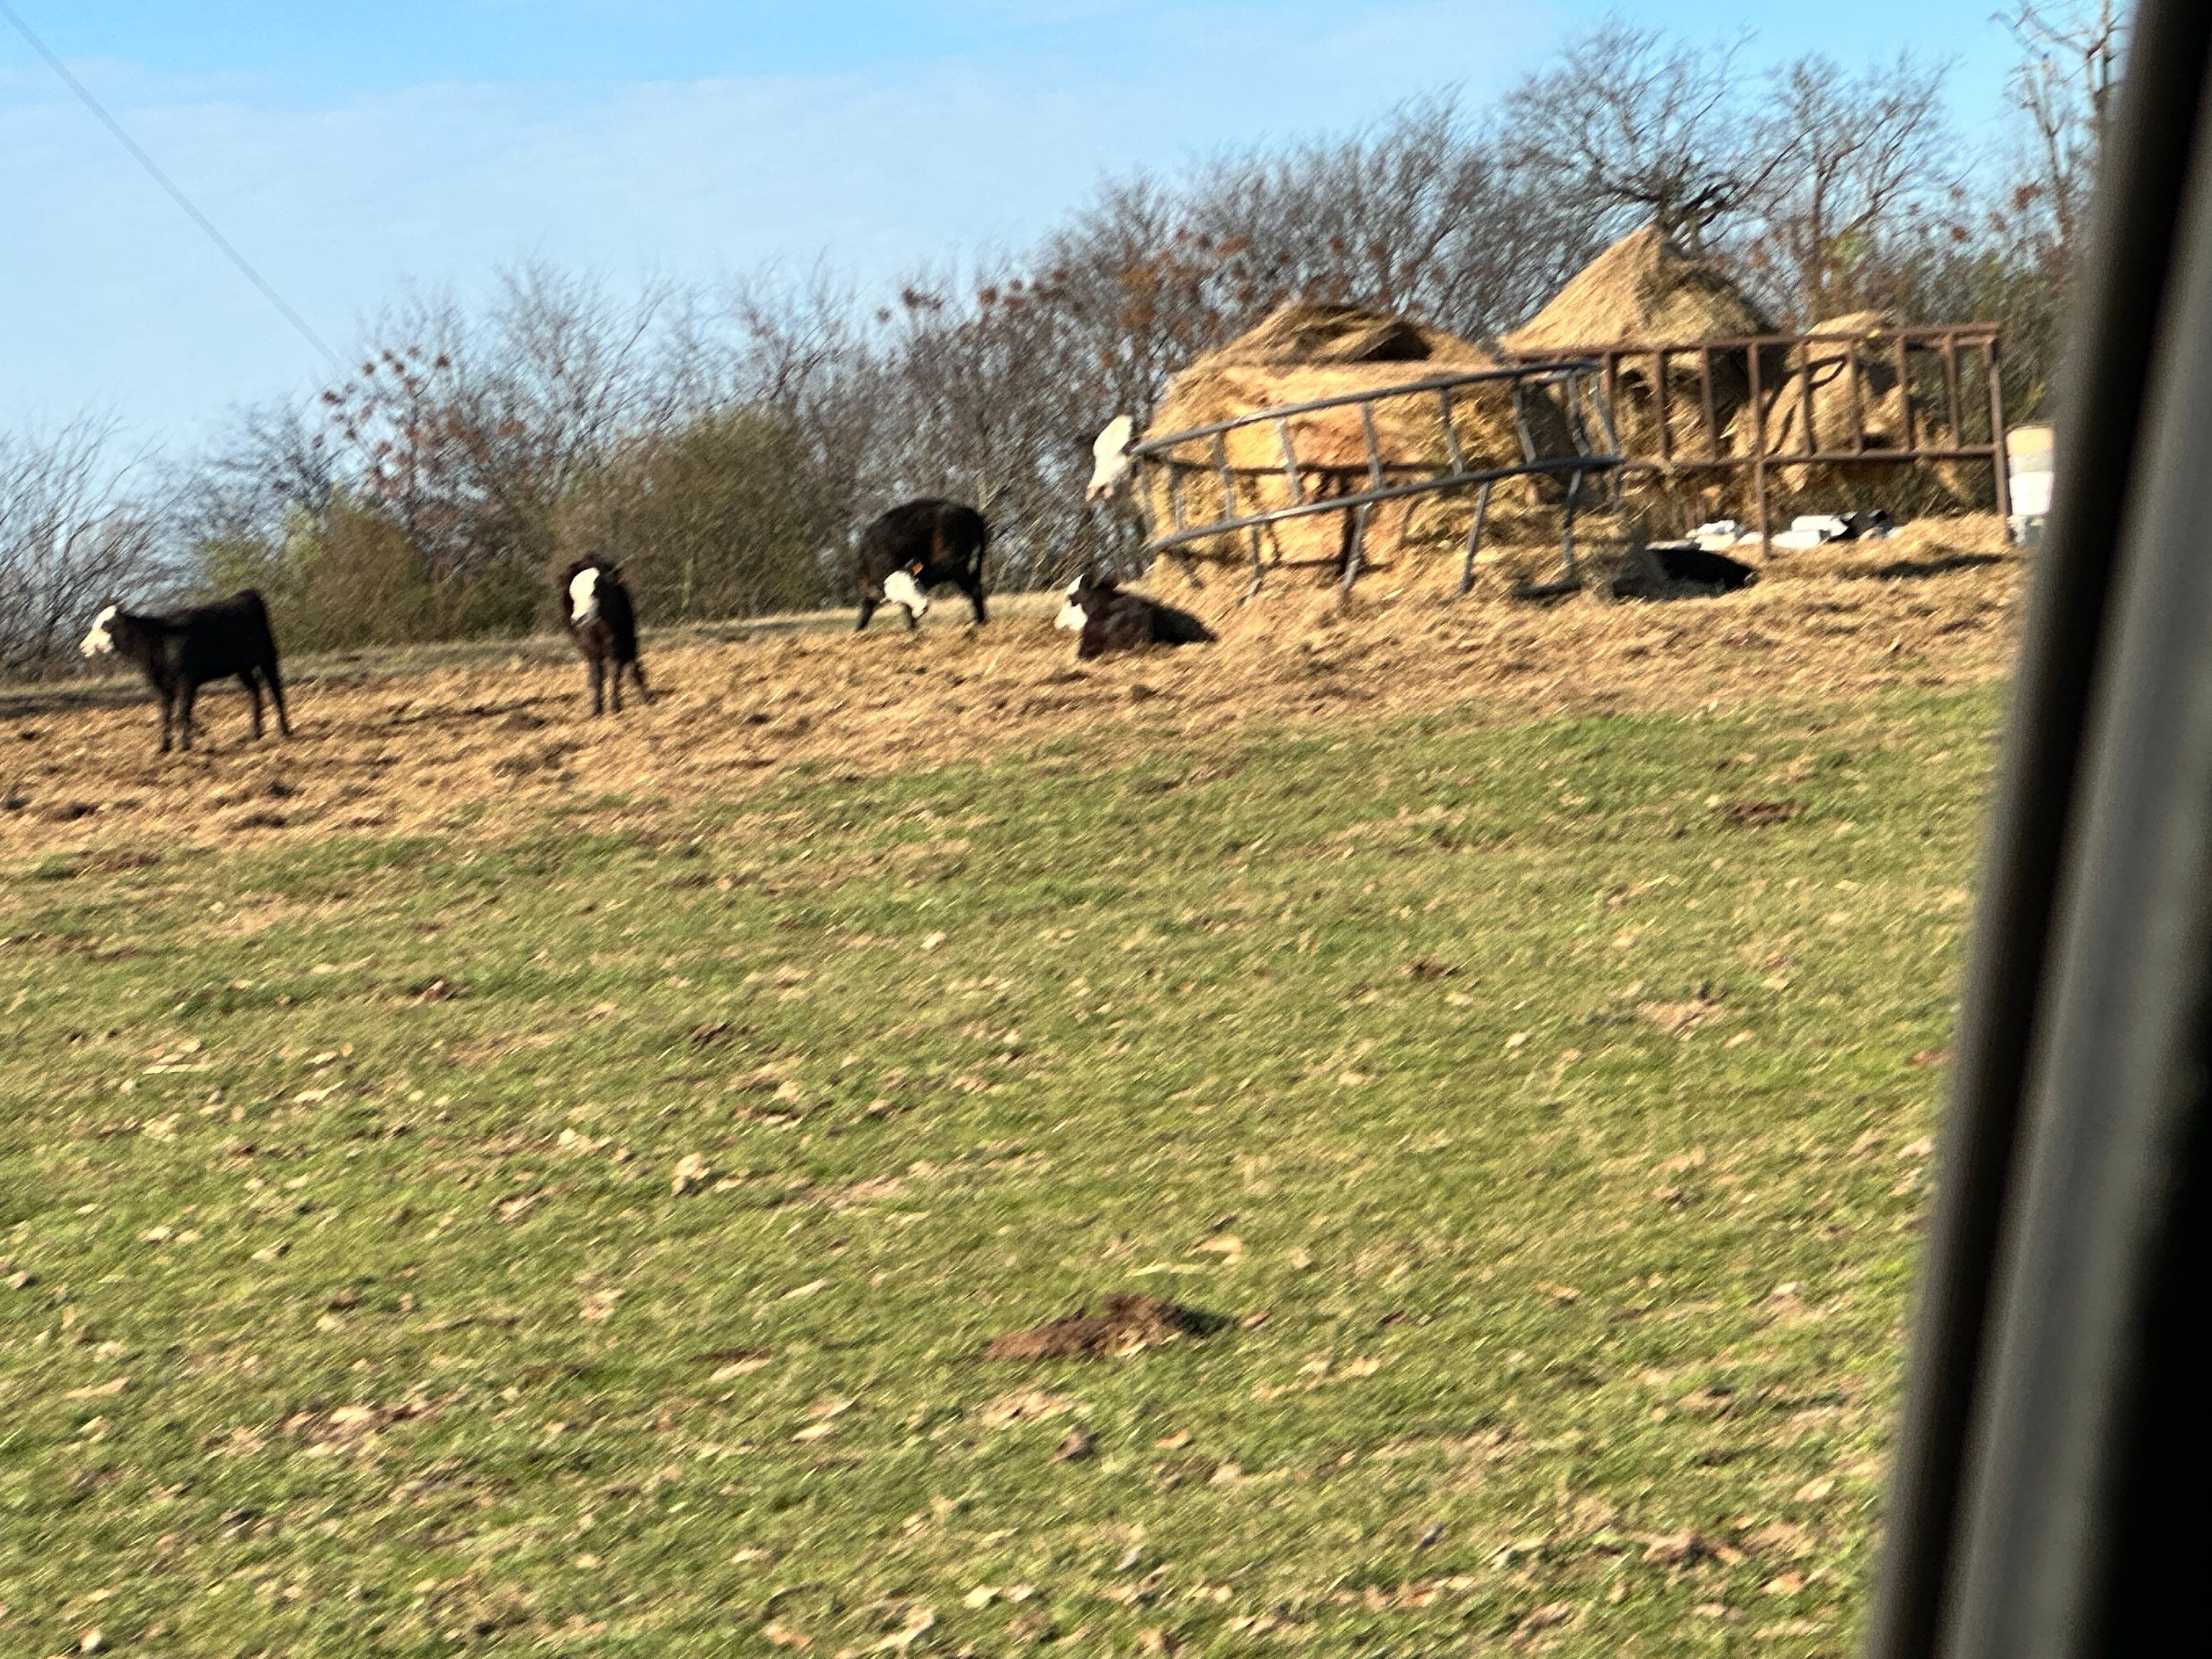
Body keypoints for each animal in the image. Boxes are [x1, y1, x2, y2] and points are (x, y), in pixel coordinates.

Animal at [79, 589, 291, 756]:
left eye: (106, 625)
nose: (83, 646)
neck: (159, 641)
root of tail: (246, 594)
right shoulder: (159, 684)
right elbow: (164, 713)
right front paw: (163, 747)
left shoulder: (187, 680)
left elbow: (183, 712)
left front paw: (184, 746)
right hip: (242, 668)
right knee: (254, 691)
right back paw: (256, 733)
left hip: (267, 658)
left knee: (276, 691)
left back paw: (284, 730)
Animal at [562, 557, 652, 716]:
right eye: (572, 593)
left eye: (596, 591)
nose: (578, 619)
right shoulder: (591, 649)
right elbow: (597, 677)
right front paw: (596, 710)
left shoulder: (617, 645)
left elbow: (616, 674)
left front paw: (616, 706)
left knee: (632, 667)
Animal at [854, 499, 989, 632]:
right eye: (899, 598)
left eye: (915, 583)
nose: (923, 607)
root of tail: (967, 510)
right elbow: (867, 609)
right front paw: (858, 631)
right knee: (975, 587)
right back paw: (982, 621)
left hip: (958, 566)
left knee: (973, 588)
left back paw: (980, 622)